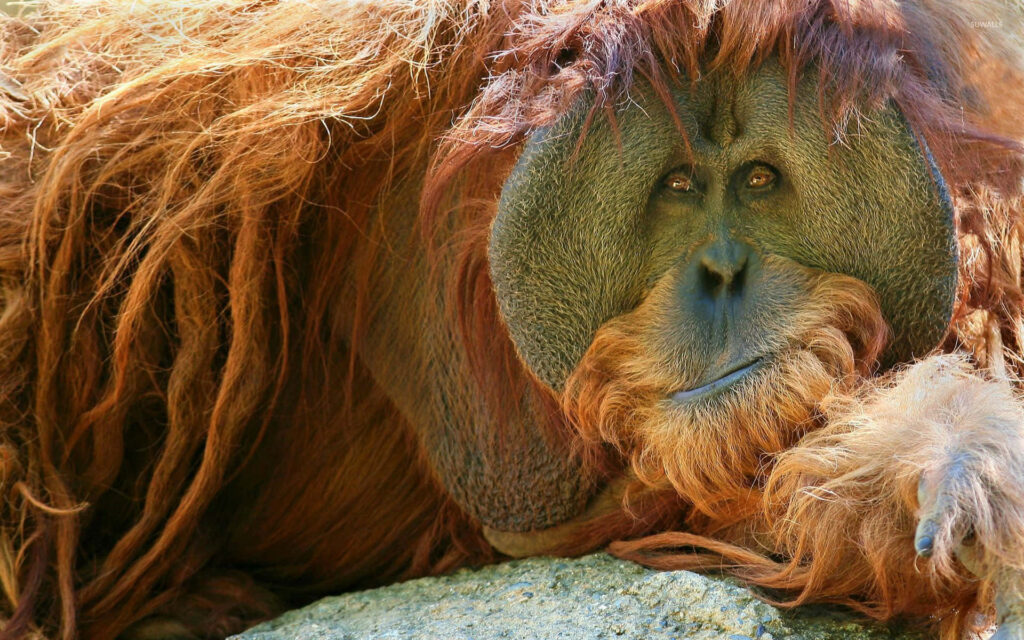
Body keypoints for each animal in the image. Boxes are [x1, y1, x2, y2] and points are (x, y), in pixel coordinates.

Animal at [0, 0, 1022, 639]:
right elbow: (37, 216)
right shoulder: (234, 99)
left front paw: (944, 465)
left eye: (761, 181)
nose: (725, 271)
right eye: (679, 186)